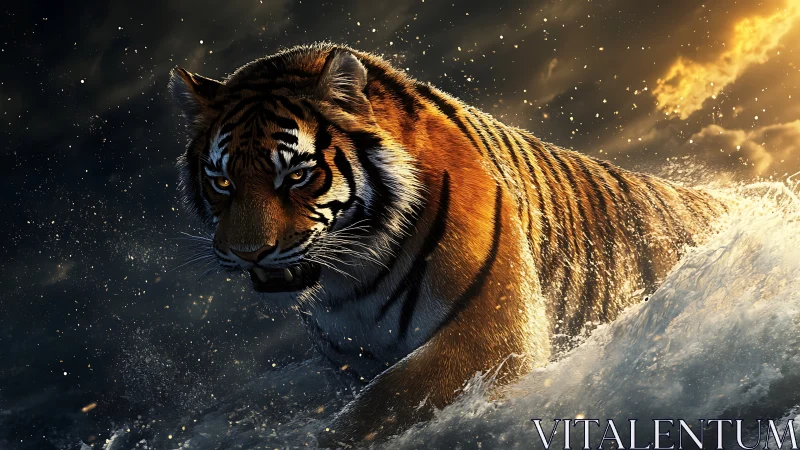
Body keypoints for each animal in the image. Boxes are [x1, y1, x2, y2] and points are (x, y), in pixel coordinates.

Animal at [168, 43, 725, 447]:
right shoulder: (353, 362)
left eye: (298, 175)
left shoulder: (491, 332)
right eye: (221, 182)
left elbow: (384, 402)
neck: (350, 277)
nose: (248, 253)